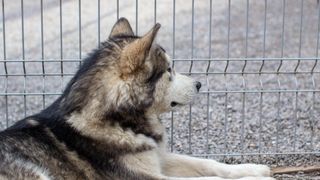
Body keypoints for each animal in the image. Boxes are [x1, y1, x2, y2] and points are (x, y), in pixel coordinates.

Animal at [0, 17, 276, 180]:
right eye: (169, 70)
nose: (198, 84)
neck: (121, 122)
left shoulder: (158, 159)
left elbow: (208, 163)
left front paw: (251, 169)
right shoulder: (145, 176)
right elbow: (208, 178)